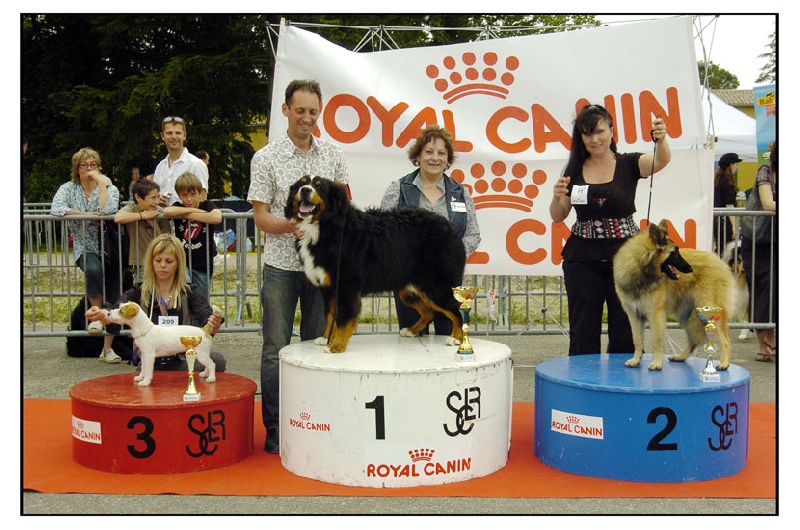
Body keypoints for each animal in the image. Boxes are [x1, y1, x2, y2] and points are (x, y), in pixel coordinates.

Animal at [285, 176, 466, 353]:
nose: (305, 190)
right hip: (409, 290)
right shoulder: (328, 288)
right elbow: (330, 315)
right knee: (429, 311)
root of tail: (449, 227)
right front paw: (326, 338)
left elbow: (344, 318)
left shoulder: (346, 286)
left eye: (319, 187)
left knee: (456, 311)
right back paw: (412, 331)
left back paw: (457, 338)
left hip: (437, 286)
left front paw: (337, 345)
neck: (325, 226)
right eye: (301, 184)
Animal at [613, 220, 736, 371]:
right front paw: (636, 360)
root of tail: (719, 260)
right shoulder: (634, 315)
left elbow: (656, 341)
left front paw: (656, 363)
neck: (640, 270)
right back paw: (681, 357)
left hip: (711, 310)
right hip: (688, 314)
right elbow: (637, 340)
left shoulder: (655, 314)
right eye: (675, 254)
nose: (690, 268)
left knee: (726, 340)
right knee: (694, 339)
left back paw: (724, 363)